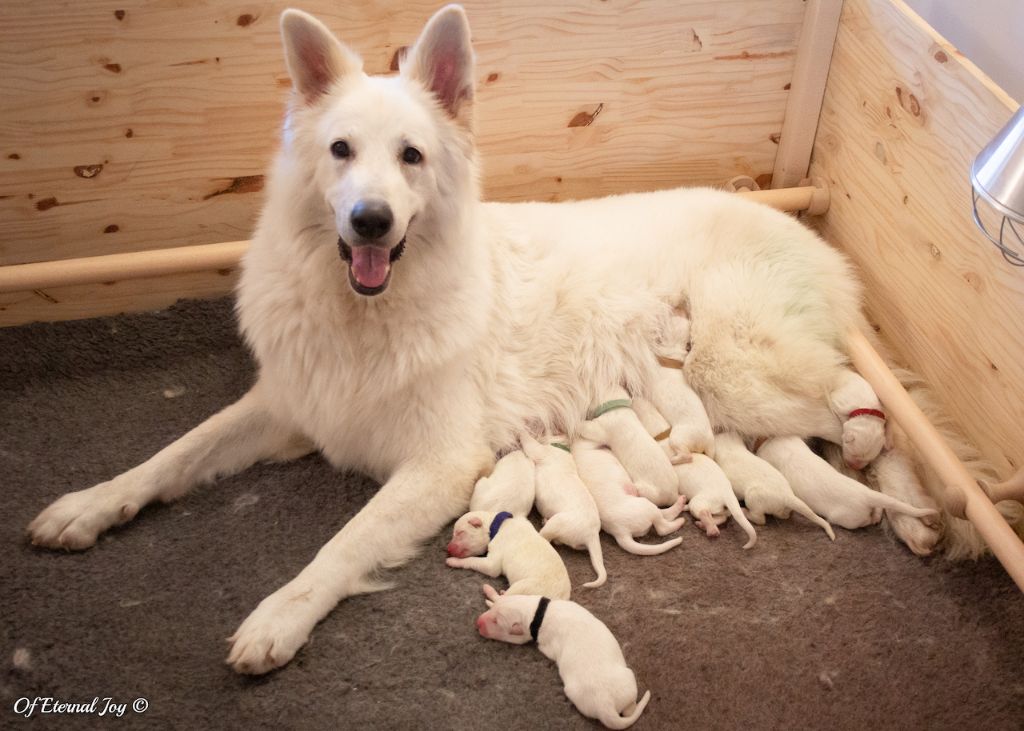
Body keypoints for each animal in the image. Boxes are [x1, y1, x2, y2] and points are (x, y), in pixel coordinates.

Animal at [444, 507, 573, 597]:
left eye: (460, 532)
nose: (448, 549)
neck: (495, 525)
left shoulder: (492, 563)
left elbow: (473, 561)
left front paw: (454, 561)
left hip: (524, 588)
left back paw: (491, 591)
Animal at [520, 432, 606, 585]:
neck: (563, 447)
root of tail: (592, 535)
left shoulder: (540, 451)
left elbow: (530, 443)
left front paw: (522, 433)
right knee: (559, 541)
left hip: (558, 522)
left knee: (546, 538)